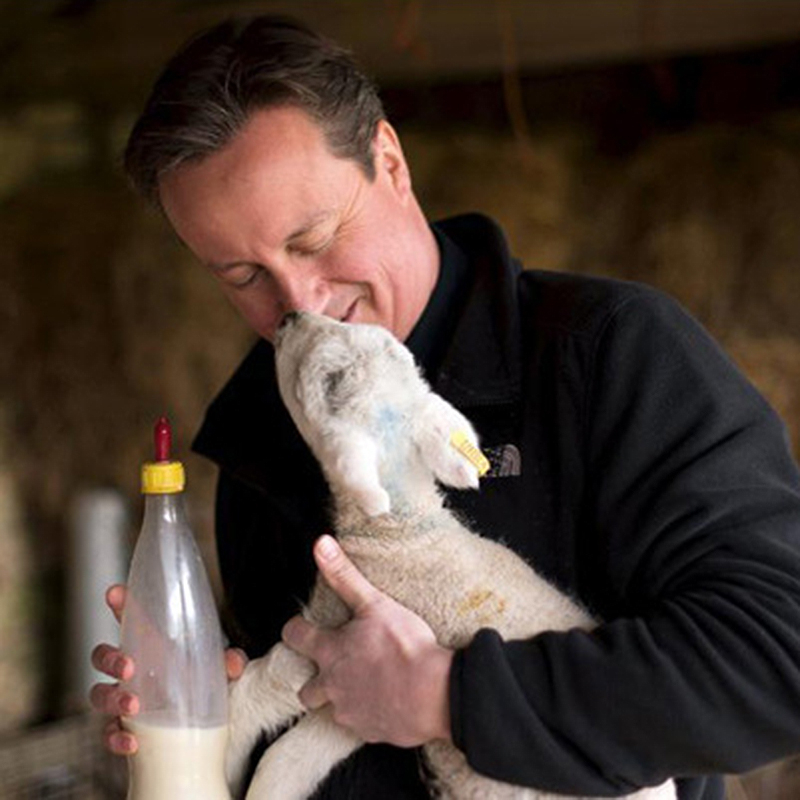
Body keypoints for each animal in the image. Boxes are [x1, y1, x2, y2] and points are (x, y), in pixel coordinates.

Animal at [225, 310, 676, 800]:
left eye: (326, 379)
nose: (291, 316)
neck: (403, 534)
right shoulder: (355, 711)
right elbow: (291, 759)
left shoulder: (333, 639)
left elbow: (260, 705)